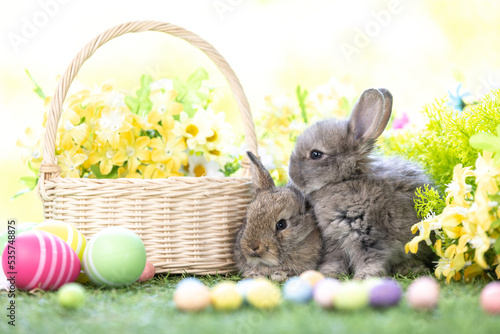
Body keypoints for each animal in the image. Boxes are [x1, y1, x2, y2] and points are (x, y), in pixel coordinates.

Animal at [288, 87, 436, 278]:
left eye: (316, 154)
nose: (291, 175)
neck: (344, 180)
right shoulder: (334, 239)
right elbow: (335, 259)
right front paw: (329, 273)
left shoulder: (369, 235)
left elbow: (371, 258)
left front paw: (364, 277)